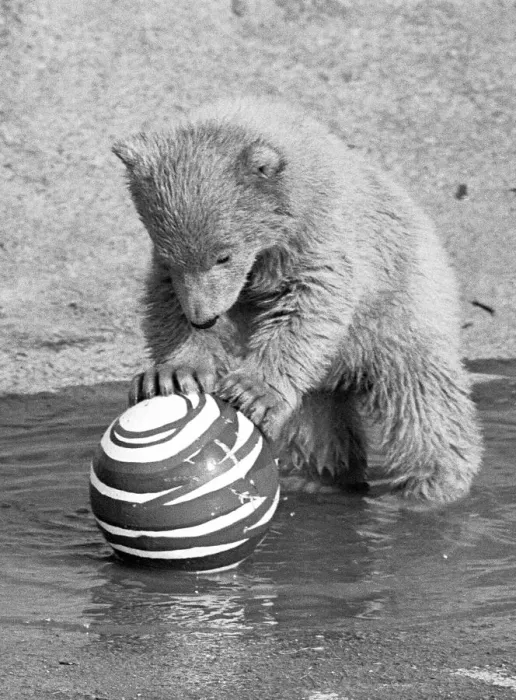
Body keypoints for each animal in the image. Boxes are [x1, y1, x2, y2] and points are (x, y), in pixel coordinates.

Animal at [112, 96, 483, 503]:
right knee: (315, 427)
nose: (203, 318)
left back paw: (428, 484)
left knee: (420, 397)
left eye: (223, 255)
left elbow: (310, 304)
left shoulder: (319, 236)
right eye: (169, 254)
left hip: (403, 304)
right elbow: (164, 301)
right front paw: (174, 374)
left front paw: (250, 391)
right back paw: (316, 477)